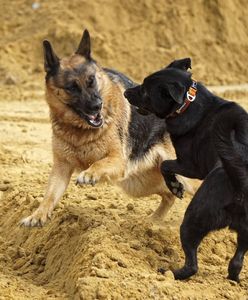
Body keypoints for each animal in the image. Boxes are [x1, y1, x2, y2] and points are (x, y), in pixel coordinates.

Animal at [19, 30, 194, 227]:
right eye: (72, 88)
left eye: (91, 81)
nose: (97, 106)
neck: (80, 131)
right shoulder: (61, 169)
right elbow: (49, 195)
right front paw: (37, 216)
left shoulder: (118, 160)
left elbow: (98, 163)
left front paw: (89, 174)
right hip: (138, 183)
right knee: (169, 195)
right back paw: (152, 222)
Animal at [125, 56, 248, 282]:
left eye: (146, 90)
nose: (126, 92)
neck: (187, 103)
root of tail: (240, 181)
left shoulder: (191, 166)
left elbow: (164, 165)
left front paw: (176, 187)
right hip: (246, 233)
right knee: (236, 262)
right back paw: (232, 279)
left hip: (193, 219)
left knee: (192, 264)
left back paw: (170, 273)